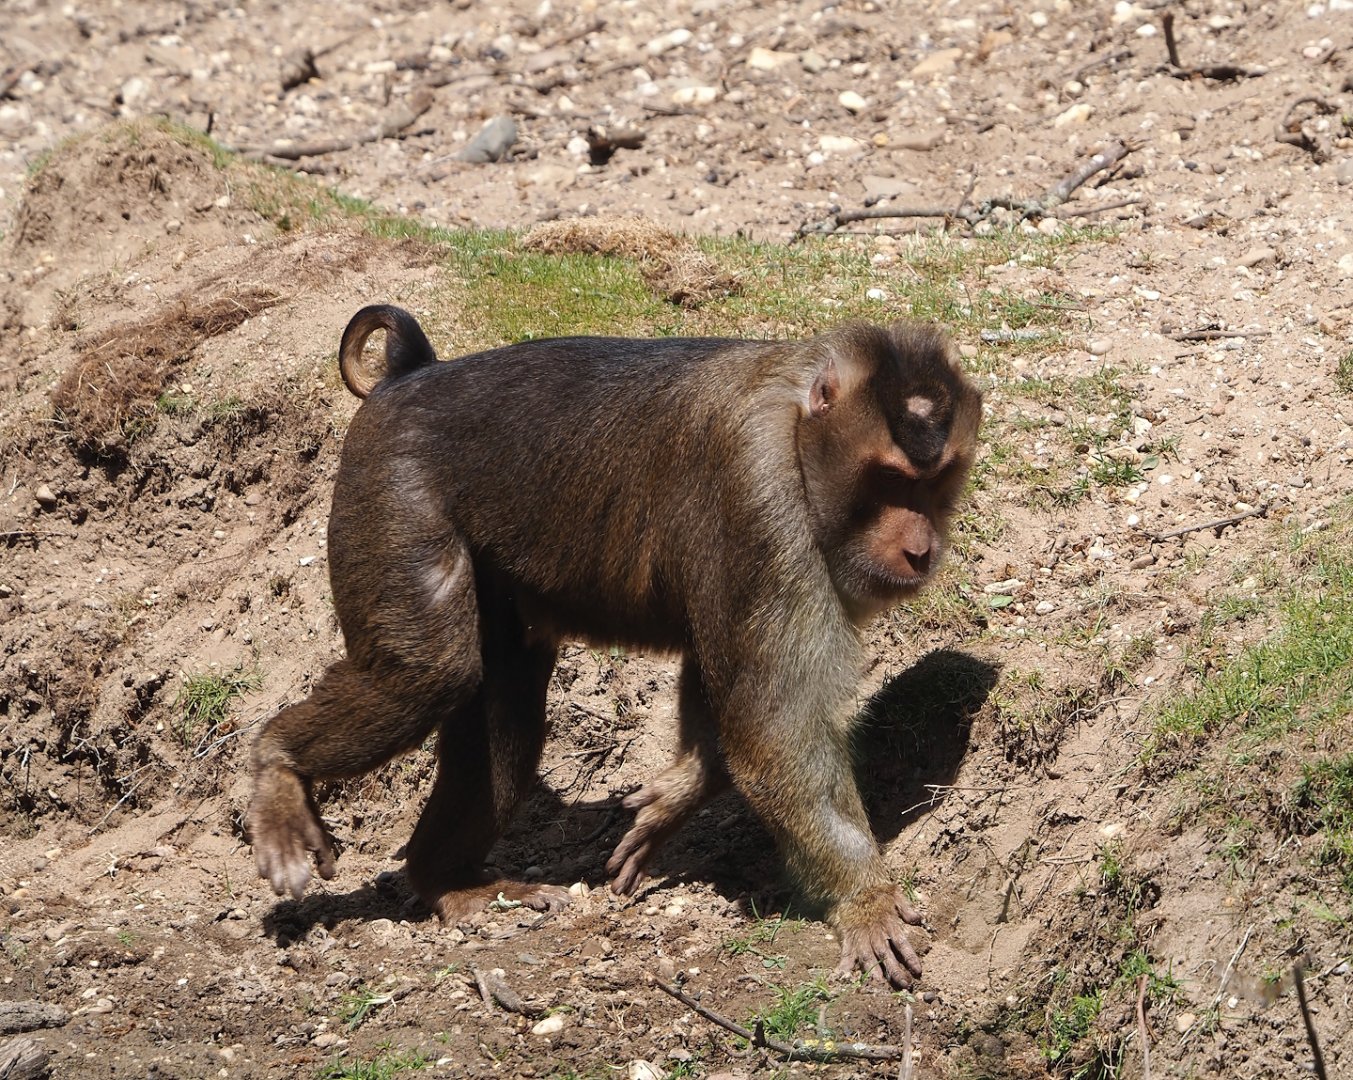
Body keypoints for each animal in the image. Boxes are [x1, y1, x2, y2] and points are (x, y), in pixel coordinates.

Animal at [247, 304, 982, 988]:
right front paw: (865, 902)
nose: (921, 548)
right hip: (393, 486)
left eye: (934, 481)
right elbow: (774, 730)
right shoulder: (759, 493)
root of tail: (411, 376)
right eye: (889, 482)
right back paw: (279, 763)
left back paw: (442, 880)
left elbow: (724, 676)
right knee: (428, 673)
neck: (800, 425)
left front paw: (677, 797)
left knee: (504, 710)